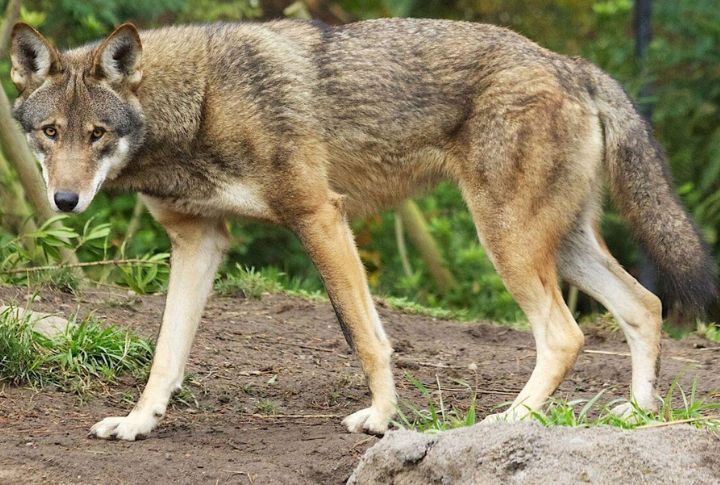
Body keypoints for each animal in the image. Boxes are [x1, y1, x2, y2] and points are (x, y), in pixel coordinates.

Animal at [10, 18, 716, 440]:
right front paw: (137, 424)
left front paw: (381, 418)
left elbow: (365, 336)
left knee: (566, 334)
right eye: (51, 132)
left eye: (96, 134)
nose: (64, 201)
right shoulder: (198, 241)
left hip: (508, 243)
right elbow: (165, 354)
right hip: (558, 246)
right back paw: (639, 413)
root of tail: (573, 64)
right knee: (646, 305)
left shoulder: (321, 216)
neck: (200, 103)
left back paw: (509, 419)